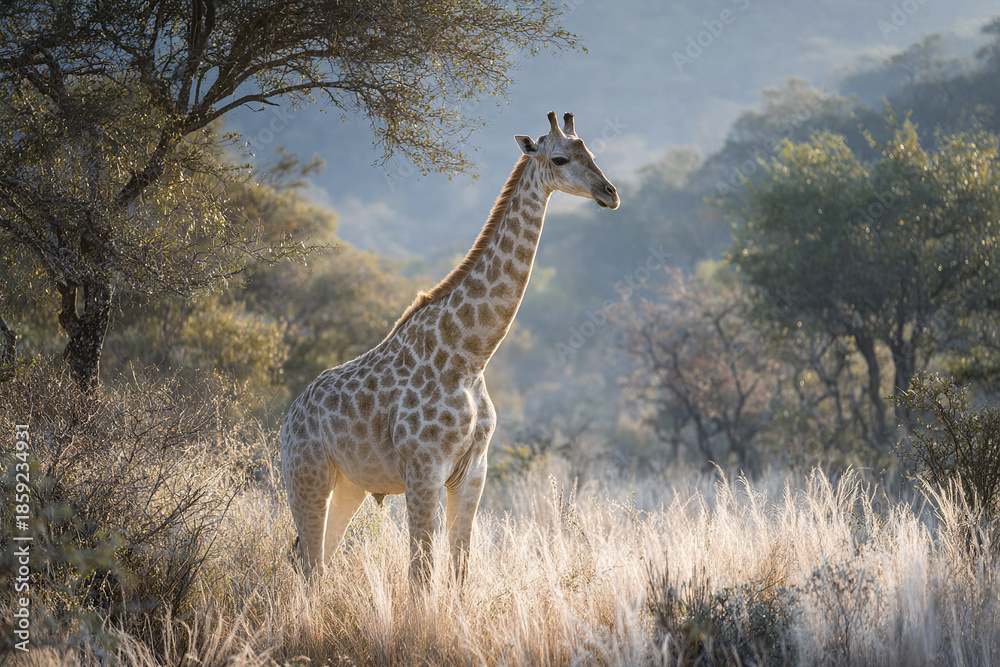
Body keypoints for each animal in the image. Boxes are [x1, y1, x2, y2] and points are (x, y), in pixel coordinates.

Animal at [280, 111, 620, 581]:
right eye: (560, 158)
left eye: (592, 153)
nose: (610, 193)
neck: (470, 357)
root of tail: (288, 417)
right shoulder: (424, 471)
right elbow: (421, 575)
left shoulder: (473, 471)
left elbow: (459, 568)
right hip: (306, 476)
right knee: (310, 565)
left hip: (349, 485)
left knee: (314, 562)